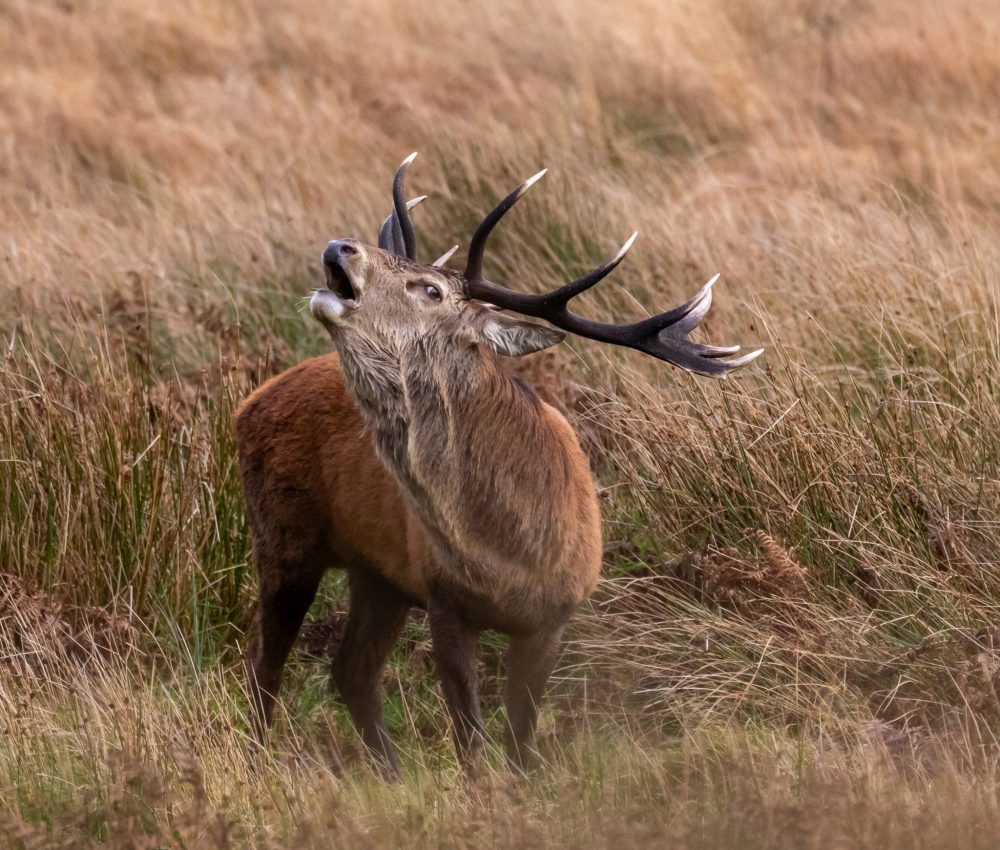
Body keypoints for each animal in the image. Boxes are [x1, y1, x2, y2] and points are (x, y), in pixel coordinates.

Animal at [235, 153, 761, 777]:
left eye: (430, 288)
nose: (342, 246)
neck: (507, 548)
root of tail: (250, 400)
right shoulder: (443, 596)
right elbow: (470, 736)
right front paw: (481, 789)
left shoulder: (556, 613)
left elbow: (521, 735)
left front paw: (520, 783)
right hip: (283, 536)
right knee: (265, 666)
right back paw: (261, 764)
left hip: (377, 575)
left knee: (351, 671)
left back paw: (391, 773)